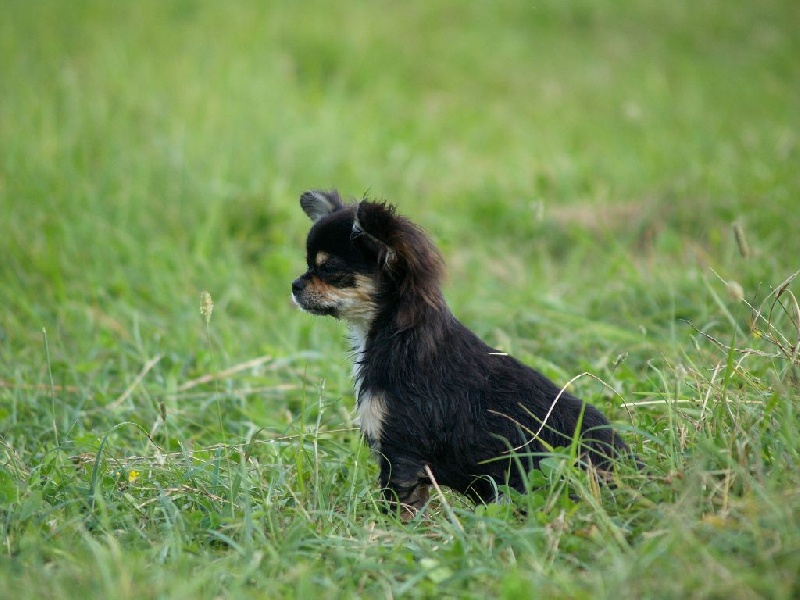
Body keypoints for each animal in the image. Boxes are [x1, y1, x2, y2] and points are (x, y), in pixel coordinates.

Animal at [294, 190, 632, 516]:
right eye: (309, 264)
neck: (393, 335)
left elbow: (399, 510)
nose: (295, 284)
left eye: (328, 268)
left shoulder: (401, 453)